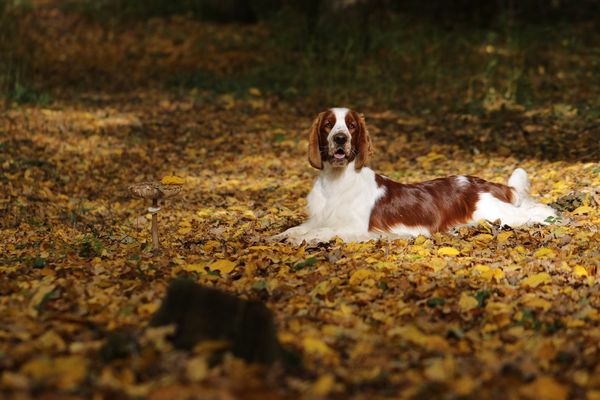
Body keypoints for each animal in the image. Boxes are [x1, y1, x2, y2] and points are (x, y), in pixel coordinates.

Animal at [278, 108, 556, 242]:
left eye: (351, 125)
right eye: (328, 124)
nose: (340, 138)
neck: (337, 180)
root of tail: (482, 183)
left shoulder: (356, 227)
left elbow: (321, 232)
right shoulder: (319, 217)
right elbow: (298, 229)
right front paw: (281, 235)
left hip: (495, 212)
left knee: (536, 212)